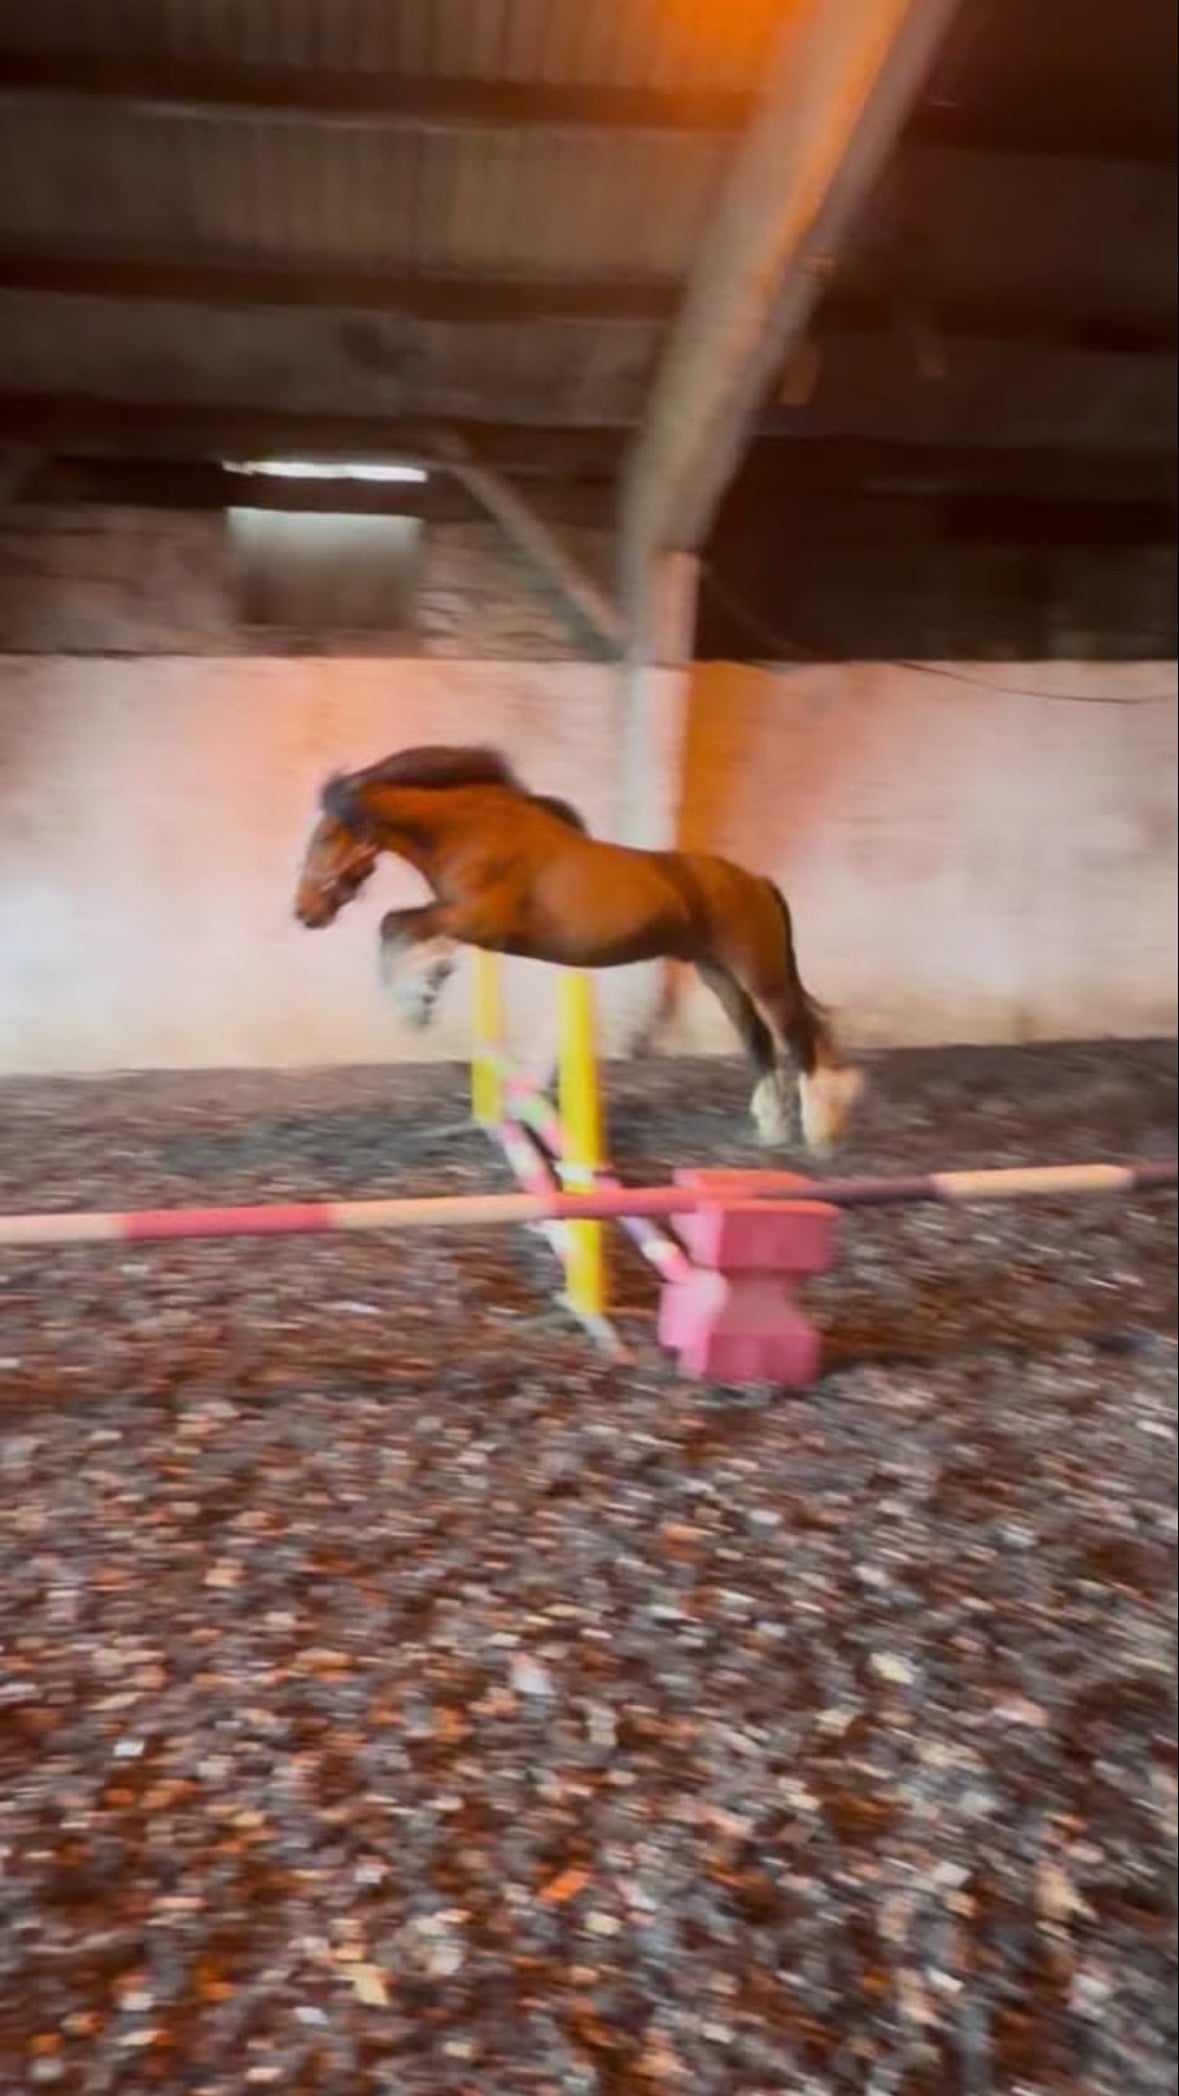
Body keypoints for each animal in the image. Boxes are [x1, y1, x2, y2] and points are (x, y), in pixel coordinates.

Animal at [293, 744, 863, 1151]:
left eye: (323, 839)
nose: (305, 913)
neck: (471, 831)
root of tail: (757, 882)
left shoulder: (480, 920)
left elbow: (395, 925)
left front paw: (418, 1000)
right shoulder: (465, 921)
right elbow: (400, 929)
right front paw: (428, 984)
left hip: (758, 972)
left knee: (796, 1035)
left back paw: (820, 1131)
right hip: (717, 973)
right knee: (759, 1042)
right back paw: (773, 1129)